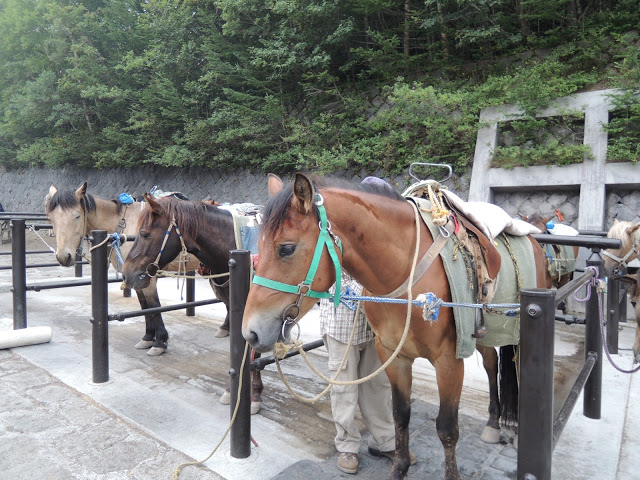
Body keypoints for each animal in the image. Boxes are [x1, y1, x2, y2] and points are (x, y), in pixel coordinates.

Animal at [242, 173, 548, 480]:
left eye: (286, 248)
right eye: (259, 248)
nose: (250, 332)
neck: (404, 275)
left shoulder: (449, 360)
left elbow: (447, 428)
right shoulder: (393, 353)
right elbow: (400, 414)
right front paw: (399, 467)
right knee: (491, 363)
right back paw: (493, 423)